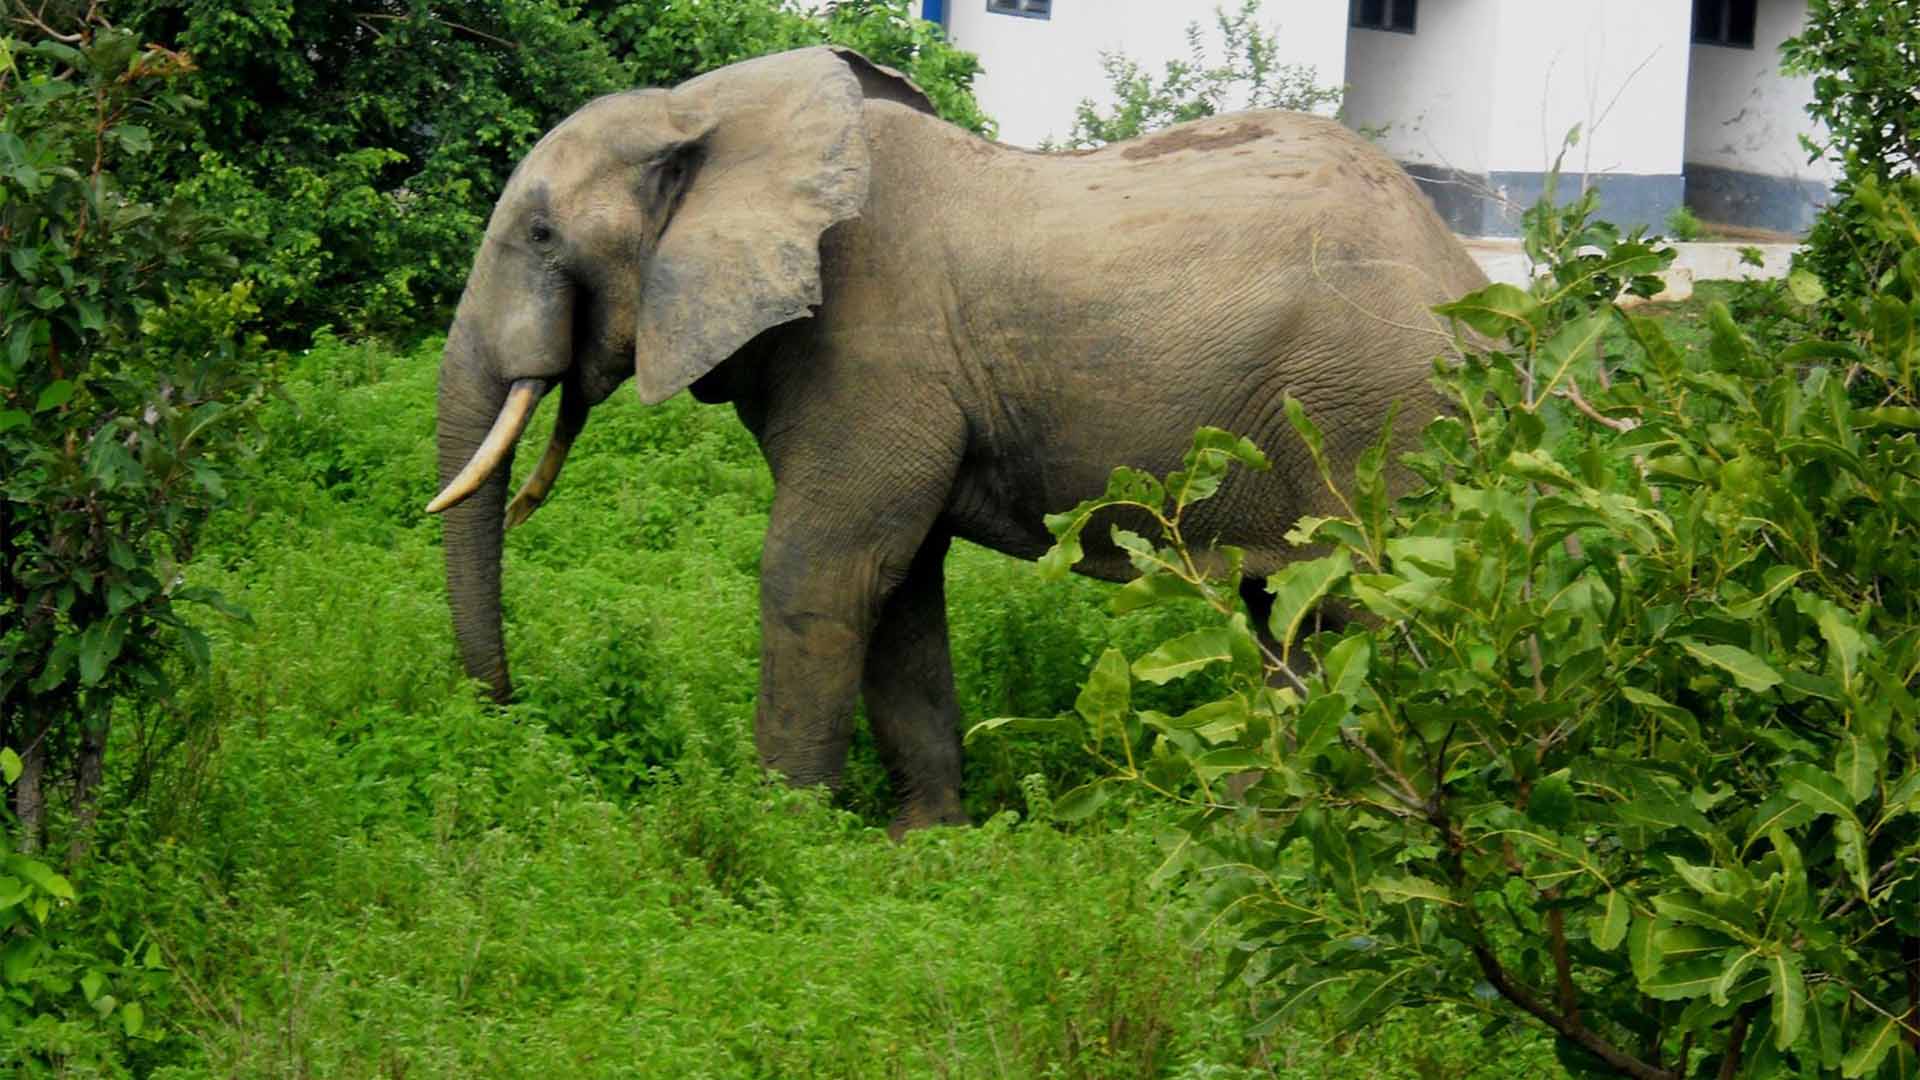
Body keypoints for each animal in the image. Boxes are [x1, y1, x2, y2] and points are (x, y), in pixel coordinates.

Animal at [427, 46, 1487, 833]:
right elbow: (897, 585)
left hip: (1377, 413)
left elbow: (821, 568)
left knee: (1369, 603)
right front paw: (923, 844)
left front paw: (778, 838)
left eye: (540, 237)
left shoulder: (873, 351)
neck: (708, 110)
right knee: (1293, 616)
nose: (510, 716)